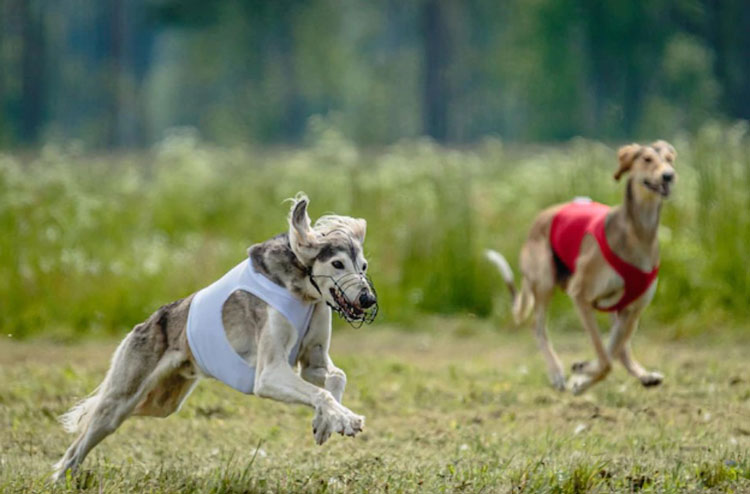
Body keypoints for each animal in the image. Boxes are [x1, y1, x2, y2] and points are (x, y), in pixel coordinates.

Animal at [52, 195, 378, 480]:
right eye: (337, 264)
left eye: (363, 266)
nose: (368, 299)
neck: (302, 290)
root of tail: (147, 322)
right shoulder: (269, 374)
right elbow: (320, 392)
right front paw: (344, 419)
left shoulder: (312, 363)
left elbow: (336, 378)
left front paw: (326, 422)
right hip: (121, 399)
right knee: (77, 445)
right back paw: (61, 477)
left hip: (161, 401)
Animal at [488, 141, 680, 396]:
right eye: (647, 159)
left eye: (670, 159)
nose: (668, 176)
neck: (638, 234)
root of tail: (541, 216)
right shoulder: (580, 296)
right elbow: (605, 359)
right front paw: (579, 377)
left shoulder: (632, 310)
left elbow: (609, 353)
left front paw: (582, 376)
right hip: (545, 281)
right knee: (538, 328)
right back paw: (557, 373)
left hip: (619, 312)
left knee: (620, 349)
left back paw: (644, 375)